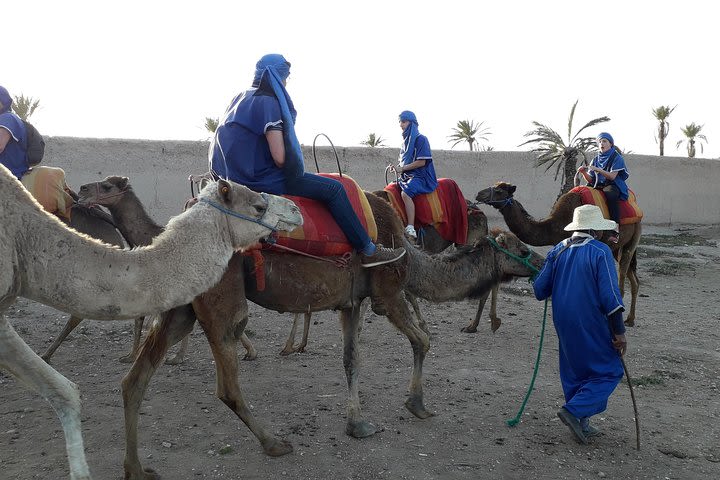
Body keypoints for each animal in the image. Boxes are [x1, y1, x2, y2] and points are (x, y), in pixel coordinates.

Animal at [121, 191, 544, 480]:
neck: (409, 255)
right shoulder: (386, 294)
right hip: (221, 303)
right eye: (522, 249)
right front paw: (417, 405)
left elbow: (351, 359)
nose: (542, 263)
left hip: (183, 308)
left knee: (135, 379)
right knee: (226, 384)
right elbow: (423, 340)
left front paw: (357, 425)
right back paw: (275, 443)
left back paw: (136, 469)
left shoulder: (351, 302)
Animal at [478, 181, 640, 326]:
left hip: (632, 239)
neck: (554, 225)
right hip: (616, 249)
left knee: (622, 280)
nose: (479, 194)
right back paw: (630, 320)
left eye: (499, 191)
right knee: (634, 280)